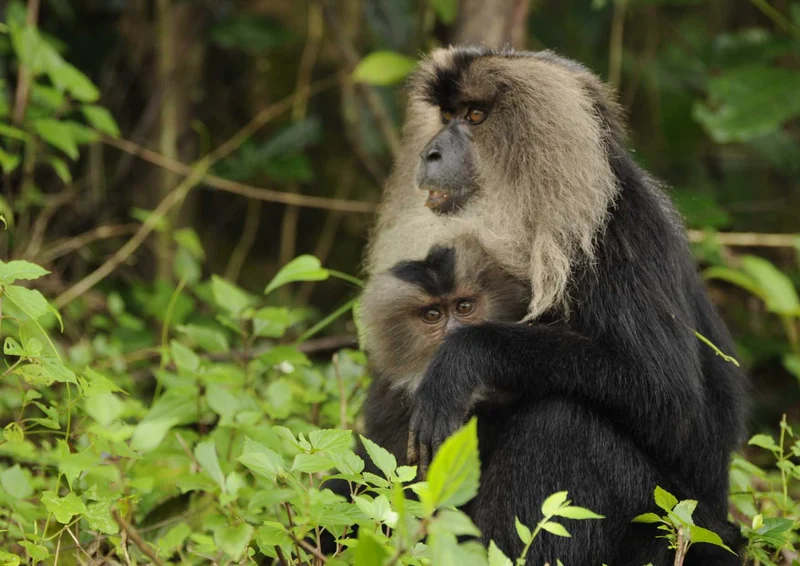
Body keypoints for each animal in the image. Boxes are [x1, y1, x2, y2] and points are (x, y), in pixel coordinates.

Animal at [359, 46, 748, 565]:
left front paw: (464, 357)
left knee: (561, 422)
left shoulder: (620, 234)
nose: (431, 153)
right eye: (446, 116)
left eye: (475, 115)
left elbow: (669, 400)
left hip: (674, 525)